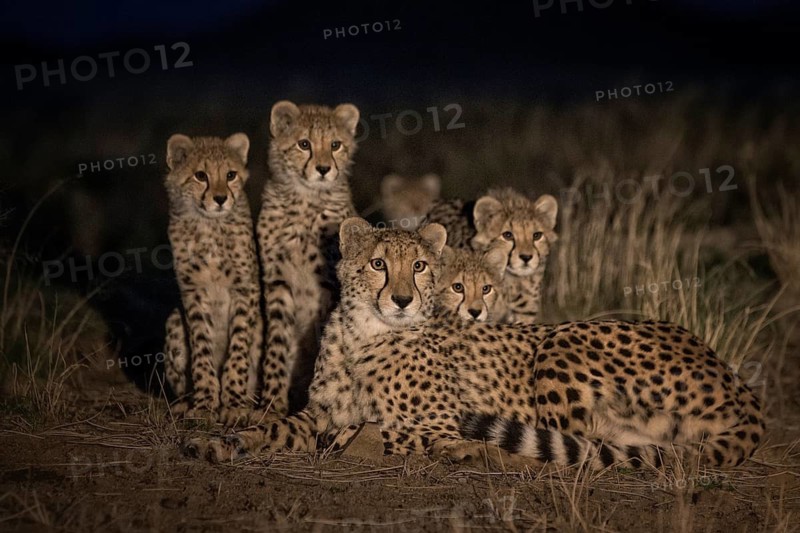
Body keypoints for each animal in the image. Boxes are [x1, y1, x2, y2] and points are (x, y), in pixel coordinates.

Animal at [162, 132, 262, 426]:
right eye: (200, 175)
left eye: (230, 175)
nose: (220, 198)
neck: (208, 225)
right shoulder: (192, 291)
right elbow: (201, 347)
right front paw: (206, 403)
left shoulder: (245, 288)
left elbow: (238, 347)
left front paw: (235, 404)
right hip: (174, 324)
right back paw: (184, 405)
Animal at [186, 218, 764, 471]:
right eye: (378, 264)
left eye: (420, 266)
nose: (400, 299)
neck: (364, 333)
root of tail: (736, 380)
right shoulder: (316, 413)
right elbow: (276, 426)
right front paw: (218, 441)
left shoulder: (437, 418)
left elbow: (383, 430)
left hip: (562, 342)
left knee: (566, 454)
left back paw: (473, 451)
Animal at [257, 100, 360, 416]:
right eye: (304, 144)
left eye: (336, 145)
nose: (324, 169)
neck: (306, 199)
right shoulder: (277, 280)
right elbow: (277, 343)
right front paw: (271, 404)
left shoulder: (329, 283)